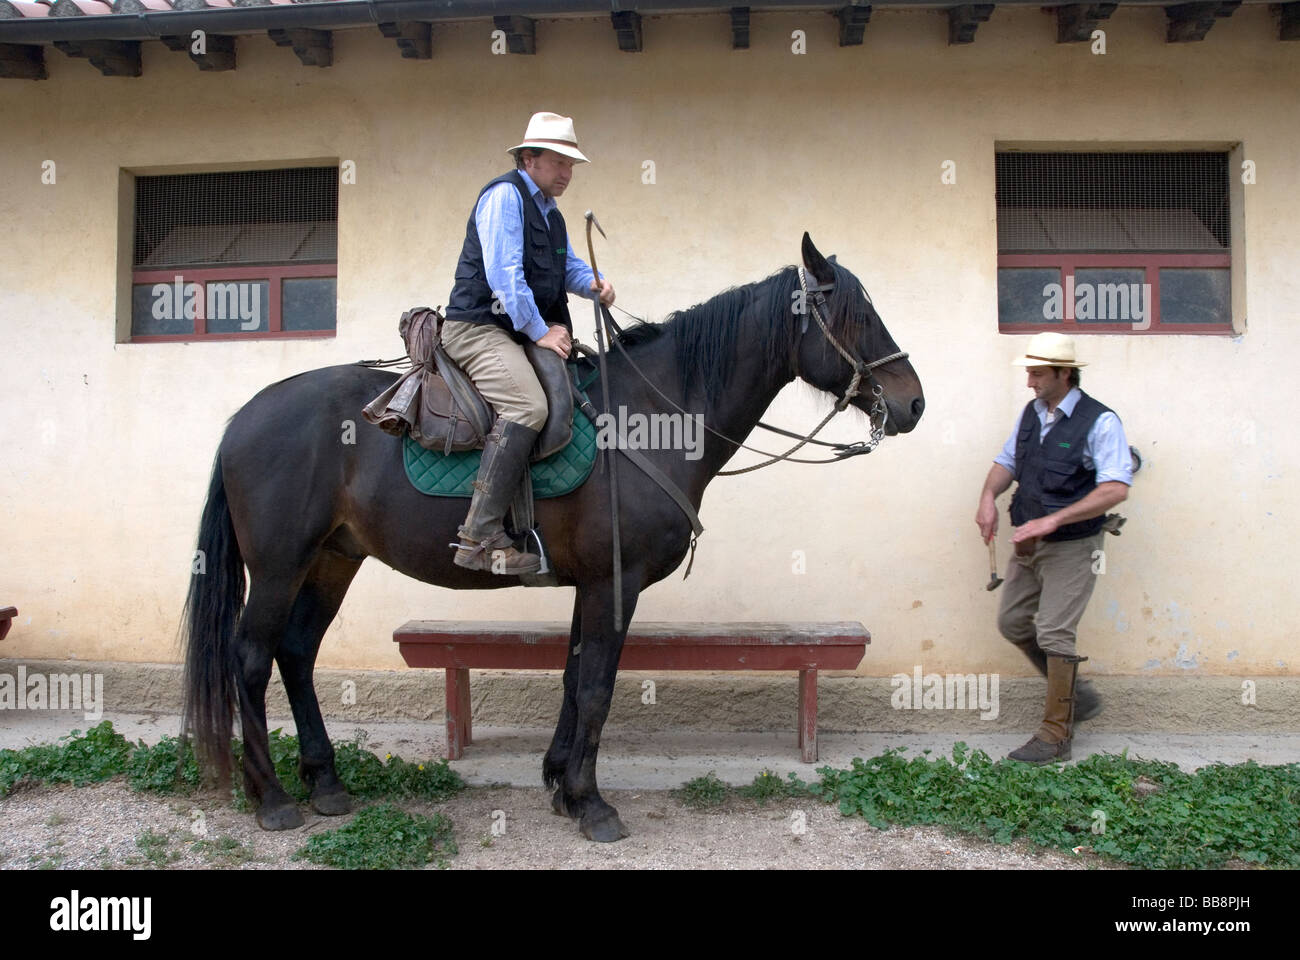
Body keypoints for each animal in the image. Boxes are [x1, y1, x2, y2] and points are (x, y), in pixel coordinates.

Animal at [180, 234, 925, 837]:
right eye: (853, 315)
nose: (913, 402)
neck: (650, 416)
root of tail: (244, 416)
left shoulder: (588, 585)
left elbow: (573, 677)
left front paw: (562, 784)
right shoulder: (613, 583)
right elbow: (596, 686)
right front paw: (591, 803)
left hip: (332, 561)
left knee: (297, 653)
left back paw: (327, 783)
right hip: (281, 566)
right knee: (252, 658)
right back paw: (273, 797)